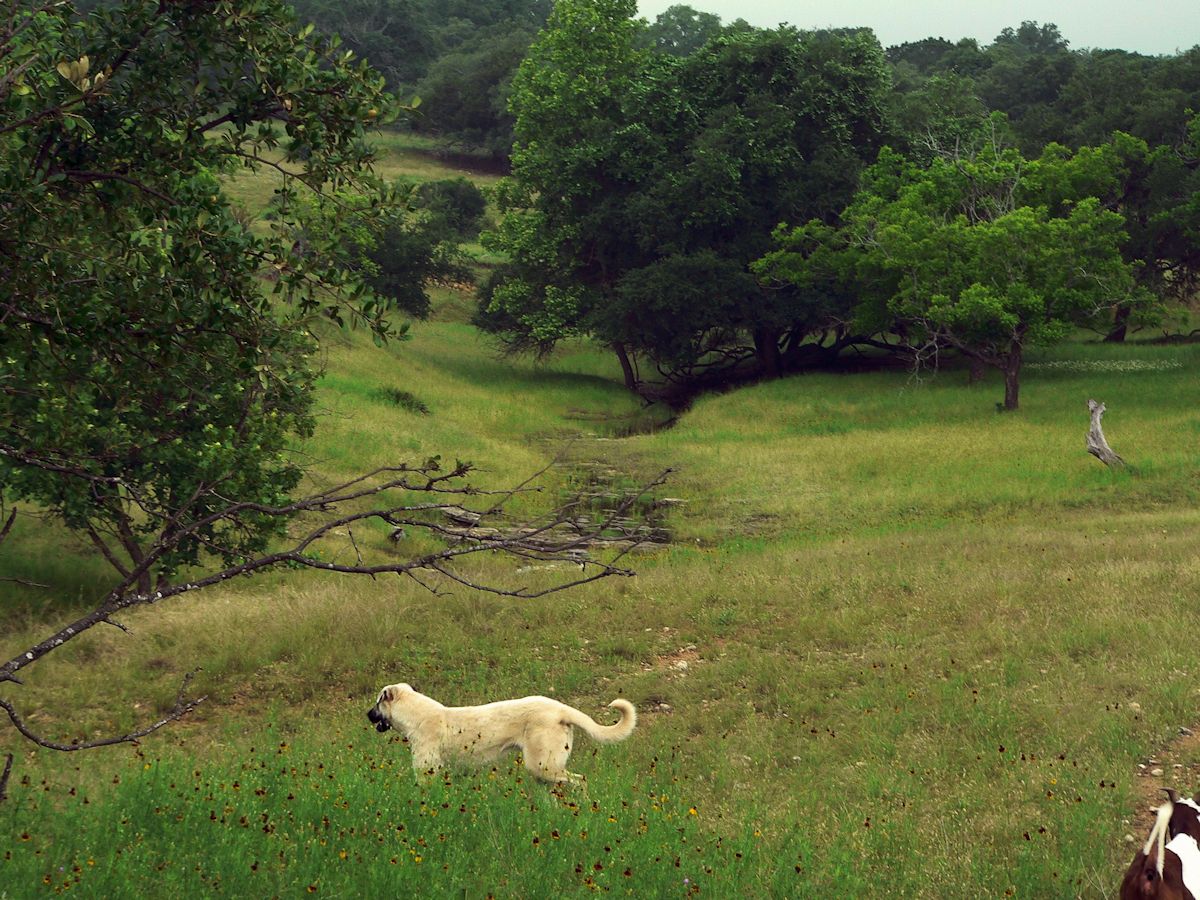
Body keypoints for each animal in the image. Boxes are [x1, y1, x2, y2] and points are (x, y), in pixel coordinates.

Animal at [367, 681, 638, 782]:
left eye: (377, 703)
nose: (367, 714)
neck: (417, 716)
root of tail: (560, 708)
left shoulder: (427, 771)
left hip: (542, 766)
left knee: (580, 781)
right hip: (542, 770)